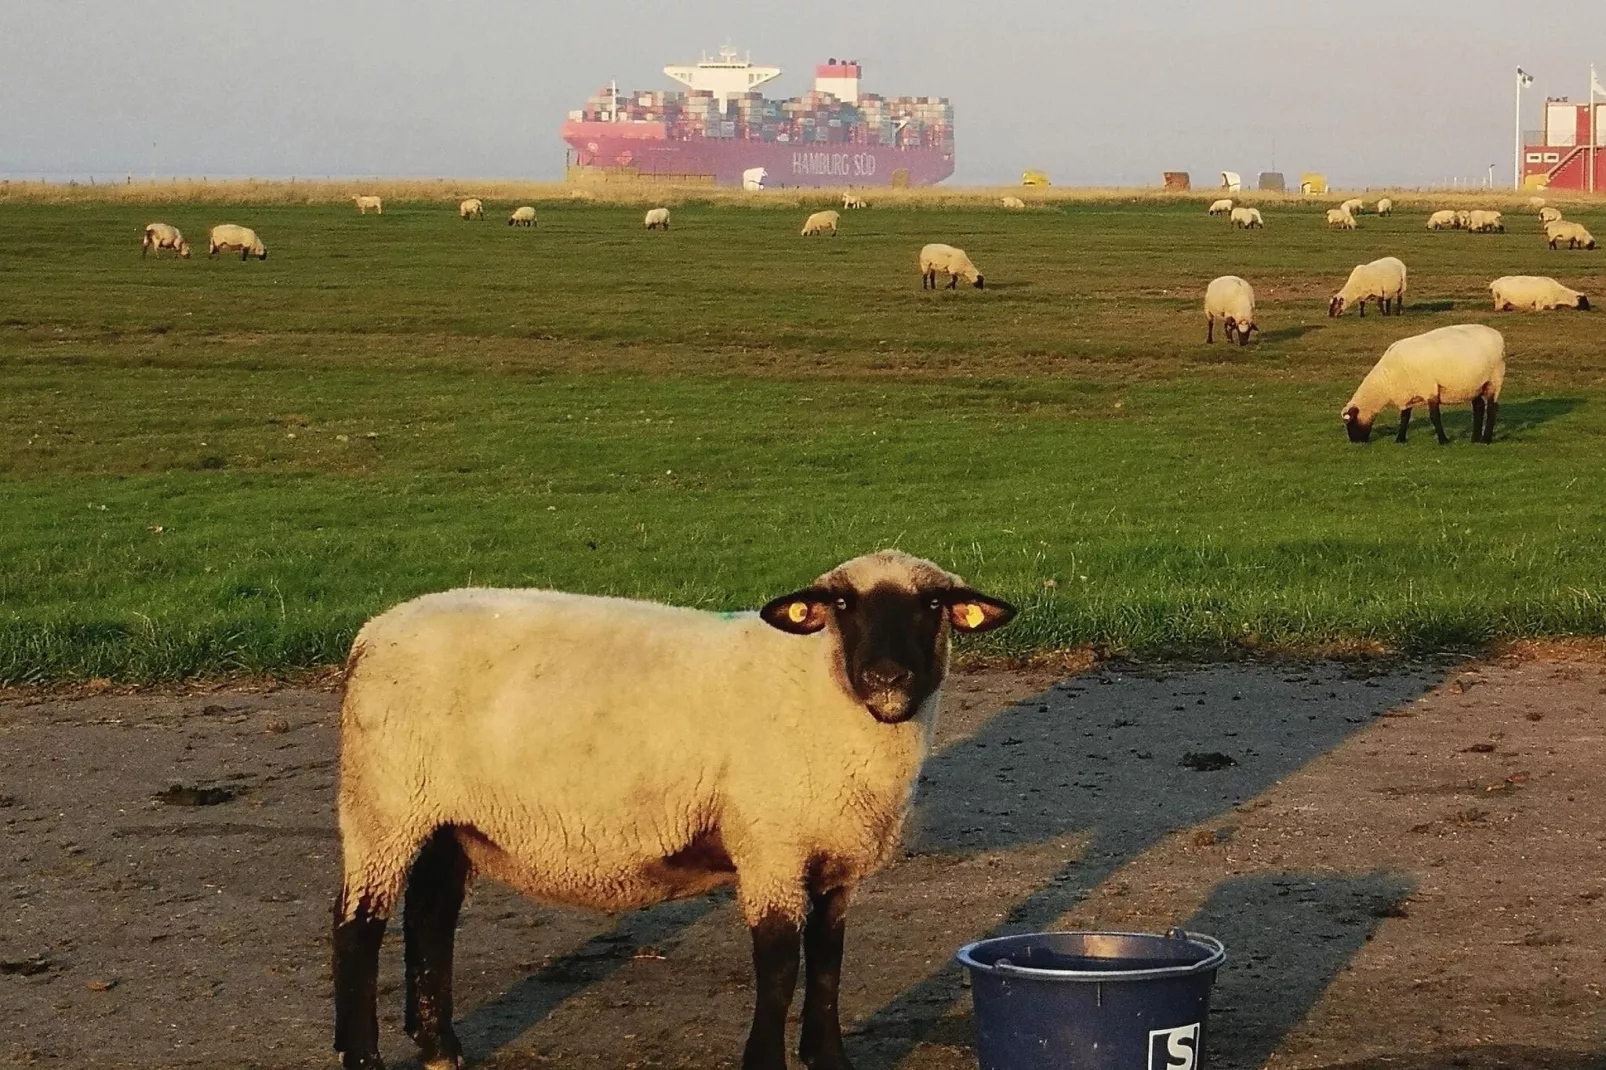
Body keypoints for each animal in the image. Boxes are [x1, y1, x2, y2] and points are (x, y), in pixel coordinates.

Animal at [329, 549, 1014, 1070]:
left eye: (933, 606)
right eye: (843, 606)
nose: (887, 677)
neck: (821, 685)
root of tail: (373, 632)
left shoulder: (833, 856)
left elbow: (826, 962)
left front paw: (829, 1060)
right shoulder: (770, 845)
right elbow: (778, 966)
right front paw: (763, 1062)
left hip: (445, 819)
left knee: (430, 917)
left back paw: (440, 1049)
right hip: (383, 805)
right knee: (357, 925)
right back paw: (363, 1057)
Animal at [1342, 322, 1503, 443]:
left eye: (1350, 423)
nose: (1355, 442)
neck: (1386, 381)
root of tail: (1497, 335)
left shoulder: (1429, 389)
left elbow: (1434, 416)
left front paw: (1443, 440)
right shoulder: (1408, 393)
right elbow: (1405, 417)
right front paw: (1400, 439)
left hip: (1494, 380)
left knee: (1492, 408)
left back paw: (1486, 440)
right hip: (1474, 384)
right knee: (1479, 407)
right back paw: (1475, 439)